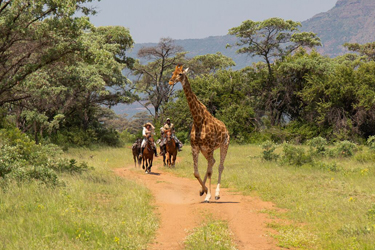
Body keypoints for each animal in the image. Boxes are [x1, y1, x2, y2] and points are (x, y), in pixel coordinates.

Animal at [170, 64, 229, 203]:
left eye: (180, 74)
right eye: (172, 72)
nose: (170, 81)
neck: (198, 119)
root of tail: (225, 128)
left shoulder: (210, 146)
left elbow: (210, 171)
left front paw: (209, 196)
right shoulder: (195, 147)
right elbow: (196, 173)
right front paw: (204, 191)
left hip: (224, 145)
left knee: (219, 166)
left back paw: (217, 194)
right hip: (204, 150)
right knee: (212, 162)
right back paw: (204, 190)